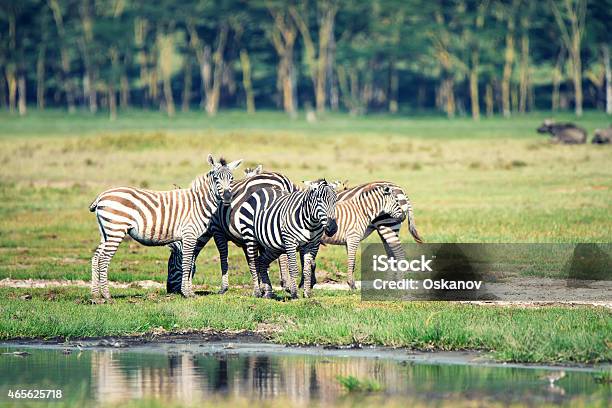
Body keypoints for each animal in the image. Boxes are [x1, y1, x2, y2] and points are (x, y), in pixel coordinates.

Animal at [88, 154, 241, 300]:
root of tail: (102, 196)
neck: (198, 203)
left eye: (232, 179)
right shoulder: (189, 234)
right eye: (216, 178)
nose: (228, 197)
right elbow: (186, 263)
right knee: (104, 259)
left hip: (106, 232)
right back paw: (107, 295)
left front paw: (189, 292)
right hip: (116, 230)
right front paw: (187, 293)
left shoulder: (192, 238)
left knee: (96, 257)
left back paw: (95, 295)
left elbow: (191, 263)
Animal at [165, 167, 298, 294]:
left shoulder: (217, 230)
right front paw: (262, 286)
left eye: (171, 266)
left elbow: (224, 257)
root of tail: (283, 180)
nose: (169, 289)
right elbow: (253, 261)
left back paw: (286, 284)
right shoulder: (247, 238)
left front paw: (224, 288)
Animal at [280, 181, 424, 290]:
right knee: (392, 255)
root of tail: (401, 190)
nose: (403, 216)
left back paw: (398, 284)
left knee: (399, 254)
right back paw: (389, 284)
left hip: (388, 226)